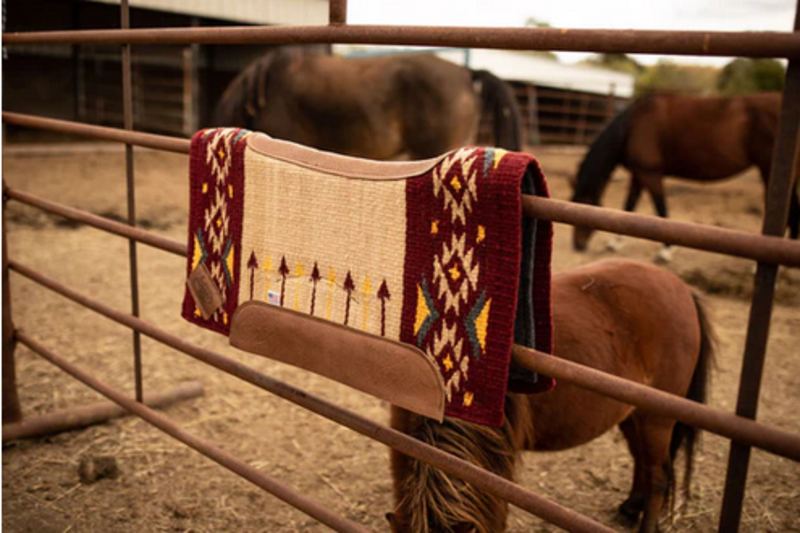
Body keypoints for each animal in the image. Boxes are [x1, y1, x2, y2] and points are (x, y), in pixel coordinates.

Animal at [386, 258, 712, 532]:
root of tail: (681, 287)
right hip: (633, 414)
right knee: (642, 462)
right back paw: (630, 509)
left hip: (657, 419)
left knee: (657, 477)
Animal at [568, 92, 800, 258]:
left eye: (584, 203)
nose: (577, 245)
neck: (632, 126)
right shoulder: (639, 175)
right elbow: (629, 207)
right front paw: (614, 243)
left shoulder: (650, 174)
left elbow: (661, 208)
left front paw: (666, 251)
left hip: (769, 172)